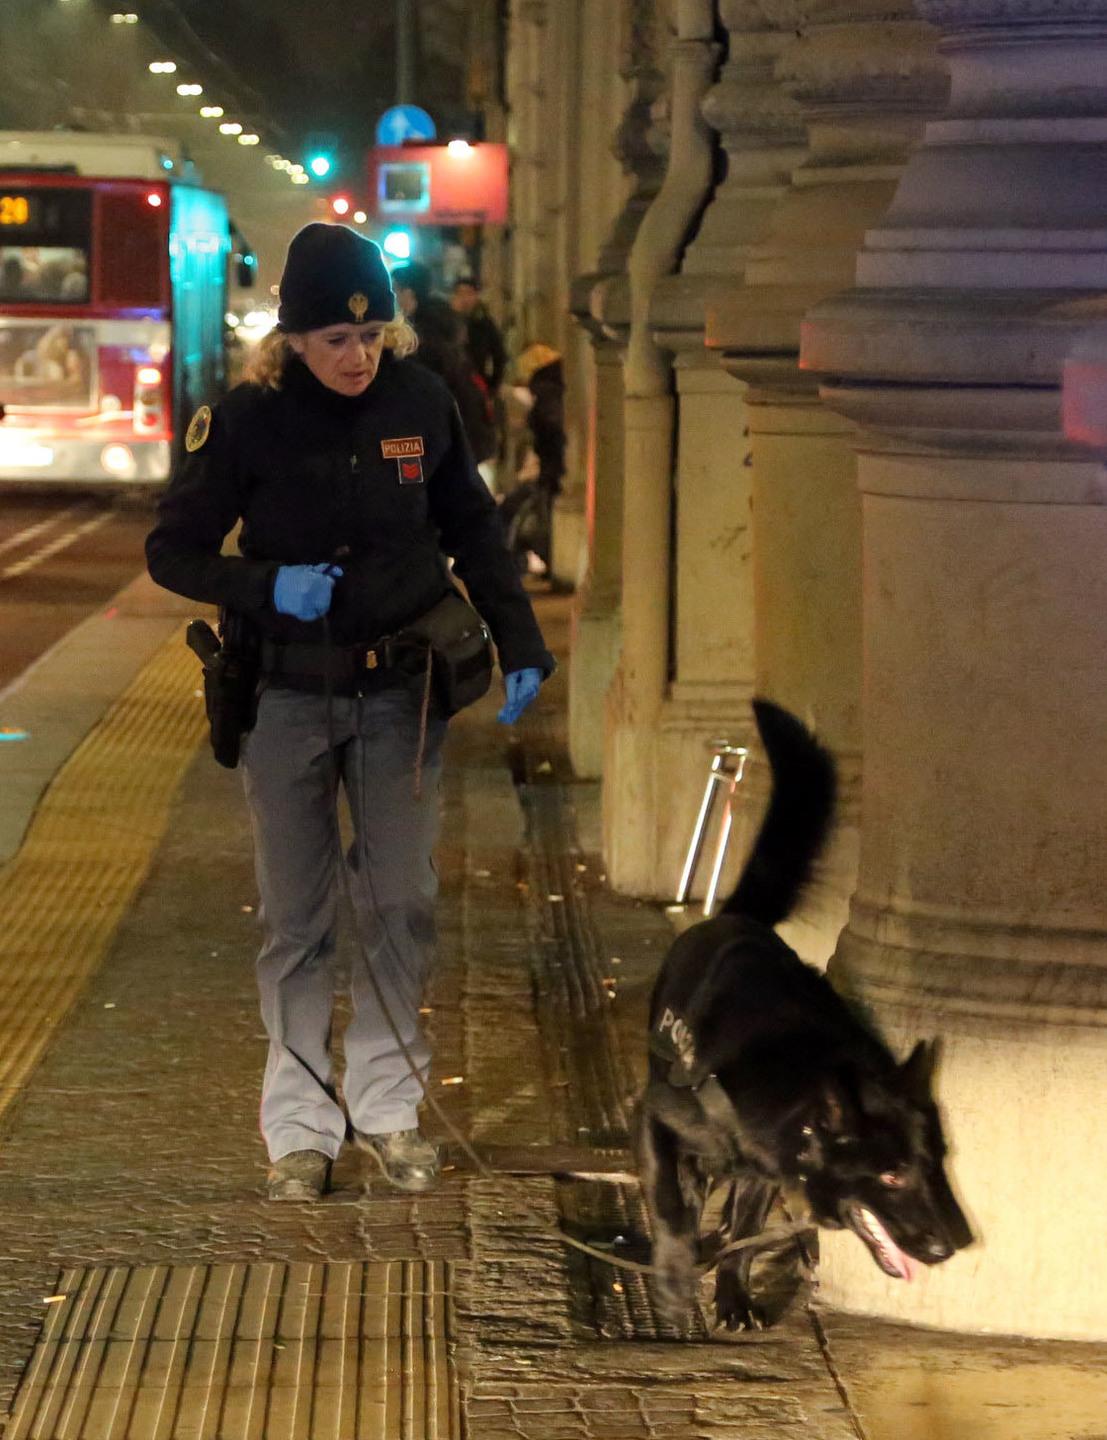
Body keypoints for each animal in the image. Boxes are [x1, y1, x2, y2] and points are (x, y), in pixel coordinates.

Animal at [633, 696, 973, 1324]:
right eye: (891, 1174)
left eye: (938, 1162)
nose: (951, 1246)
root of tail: (734, 916)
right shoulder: (652, 1118)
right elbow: (667, 1198)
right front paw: (672, 1273)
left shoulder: (765, 1170)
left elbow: (746, 1231)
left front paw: (734, 1293)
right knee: (689, 1185)